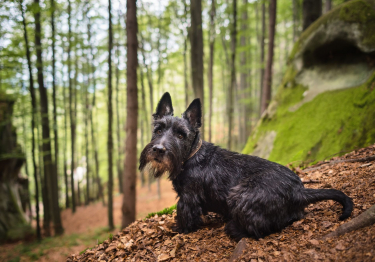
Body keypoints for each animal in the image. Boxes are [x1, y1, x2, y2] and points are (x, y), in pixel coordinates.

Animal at [140, 92, 354, 242]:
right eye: (158, 130)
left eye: (180, 135)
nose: (158, 150)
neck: (191, 156)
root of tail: (300, 191)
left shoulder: (188, 198)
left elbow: (185, 215)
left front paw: (179, 229)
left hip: (240, 195)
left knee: (258, 228)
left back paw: (233, 228)